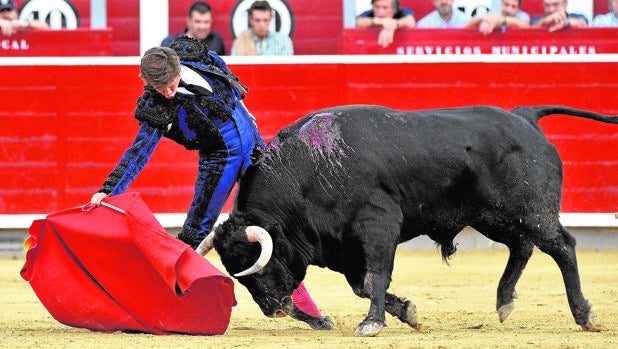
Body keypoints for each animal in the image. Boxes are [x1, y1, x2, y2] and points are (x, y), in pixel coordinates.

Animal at [201, 104, 612, 336]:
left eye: (260, 266)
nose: (274, 310)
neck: (310, 170)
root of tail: (523, 117)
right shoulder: (344, 247)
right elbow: (364, 285)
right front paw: (408, 313)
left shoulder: (379, 225)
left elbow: (375, 277)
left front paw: (371, 324)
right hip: (492, 215)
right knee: (522, 245)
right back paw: (504, 301)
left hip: (532, 210)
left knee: (562, 247)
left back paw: (584, 316)